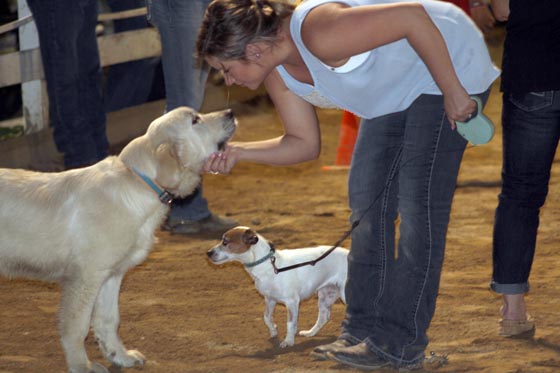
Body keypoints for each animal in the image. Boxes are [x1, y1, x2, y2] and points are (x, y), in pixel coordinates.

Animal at [0, 106, 235, 370]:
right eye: (195, 120)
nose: (230, 111)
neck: (137, 183)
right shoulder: (85, 276)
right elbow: (76, 327)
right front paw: (82, 367)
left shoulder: (111, 275)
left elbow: (108, 320)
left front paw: (119, 356)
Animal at [207, 225, 346, 348]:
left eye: (225, 242)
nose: (208, 252)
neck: (270, 265)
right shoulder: (270, 299)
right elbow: (266, 317)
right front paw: (273, 330)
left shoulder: (292, 302)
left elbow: (290, 323)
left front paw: (288, 341)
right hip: (326, 296)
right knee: (324, 317)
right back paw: (310, 333)